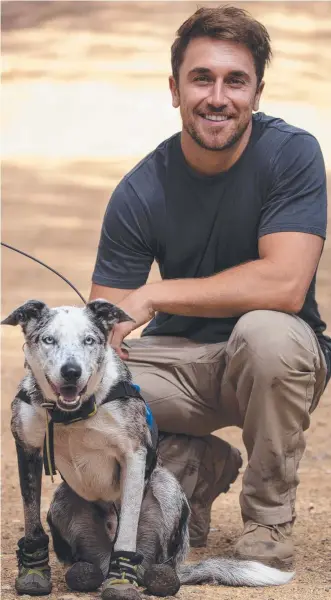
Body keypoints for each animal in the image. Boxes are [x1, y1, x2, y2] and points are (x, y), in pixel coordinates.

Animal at [1, 302, 296, 596]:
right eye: (48, 339)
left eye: (90, 340)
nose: (71, 371)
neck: (73, 414)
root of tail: (105, 561)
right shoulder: (27, 450)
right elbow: (31, 520)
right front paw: (34, 572)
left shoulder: (133, 456)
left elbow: (127, 529)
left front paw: (121, 581)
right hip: (62, 500)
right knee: (85, 563)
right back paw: (85, 573)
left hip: (166, 488)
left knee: (157, 560)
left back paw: (156, 576)